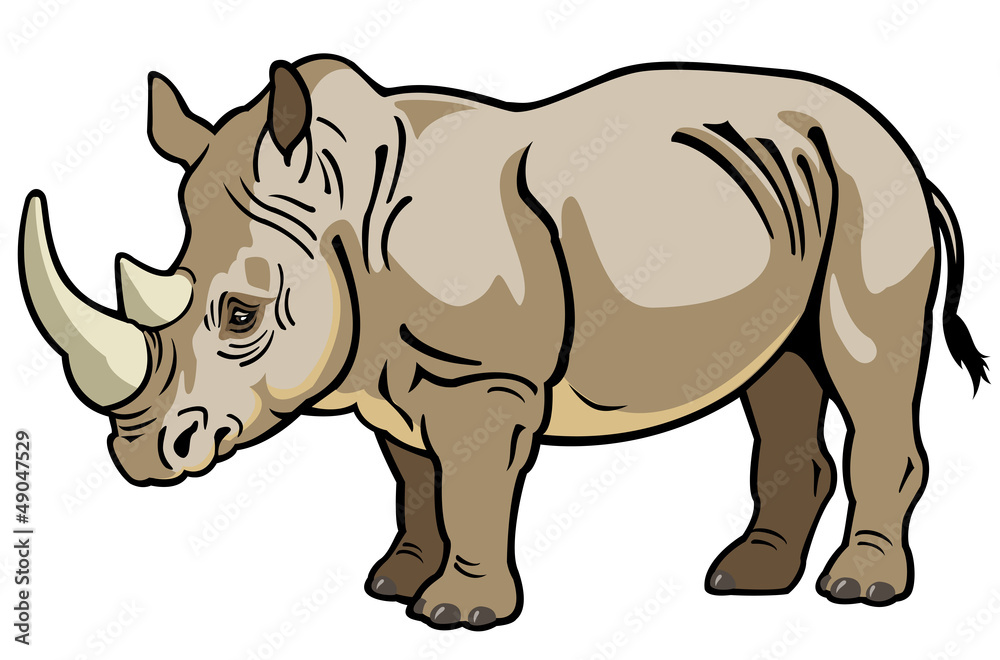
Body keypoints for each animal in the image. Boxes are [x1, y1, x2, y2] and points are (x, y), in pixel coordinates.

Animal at [19, 55, 988, 629]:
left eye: (241, 318)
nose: (142, 456)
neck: (343, 215)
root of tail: (911, 156)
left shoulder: (482, 378)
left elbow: (473, 486)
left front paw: (457, 614)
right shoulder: (384, 372)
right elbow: (417, 482)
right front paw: (393, 583)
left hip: (872, 189)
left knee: (866, 370)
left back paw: (858, 593)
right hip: (789, 187)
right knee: (780, 371)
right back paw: (746, 581)